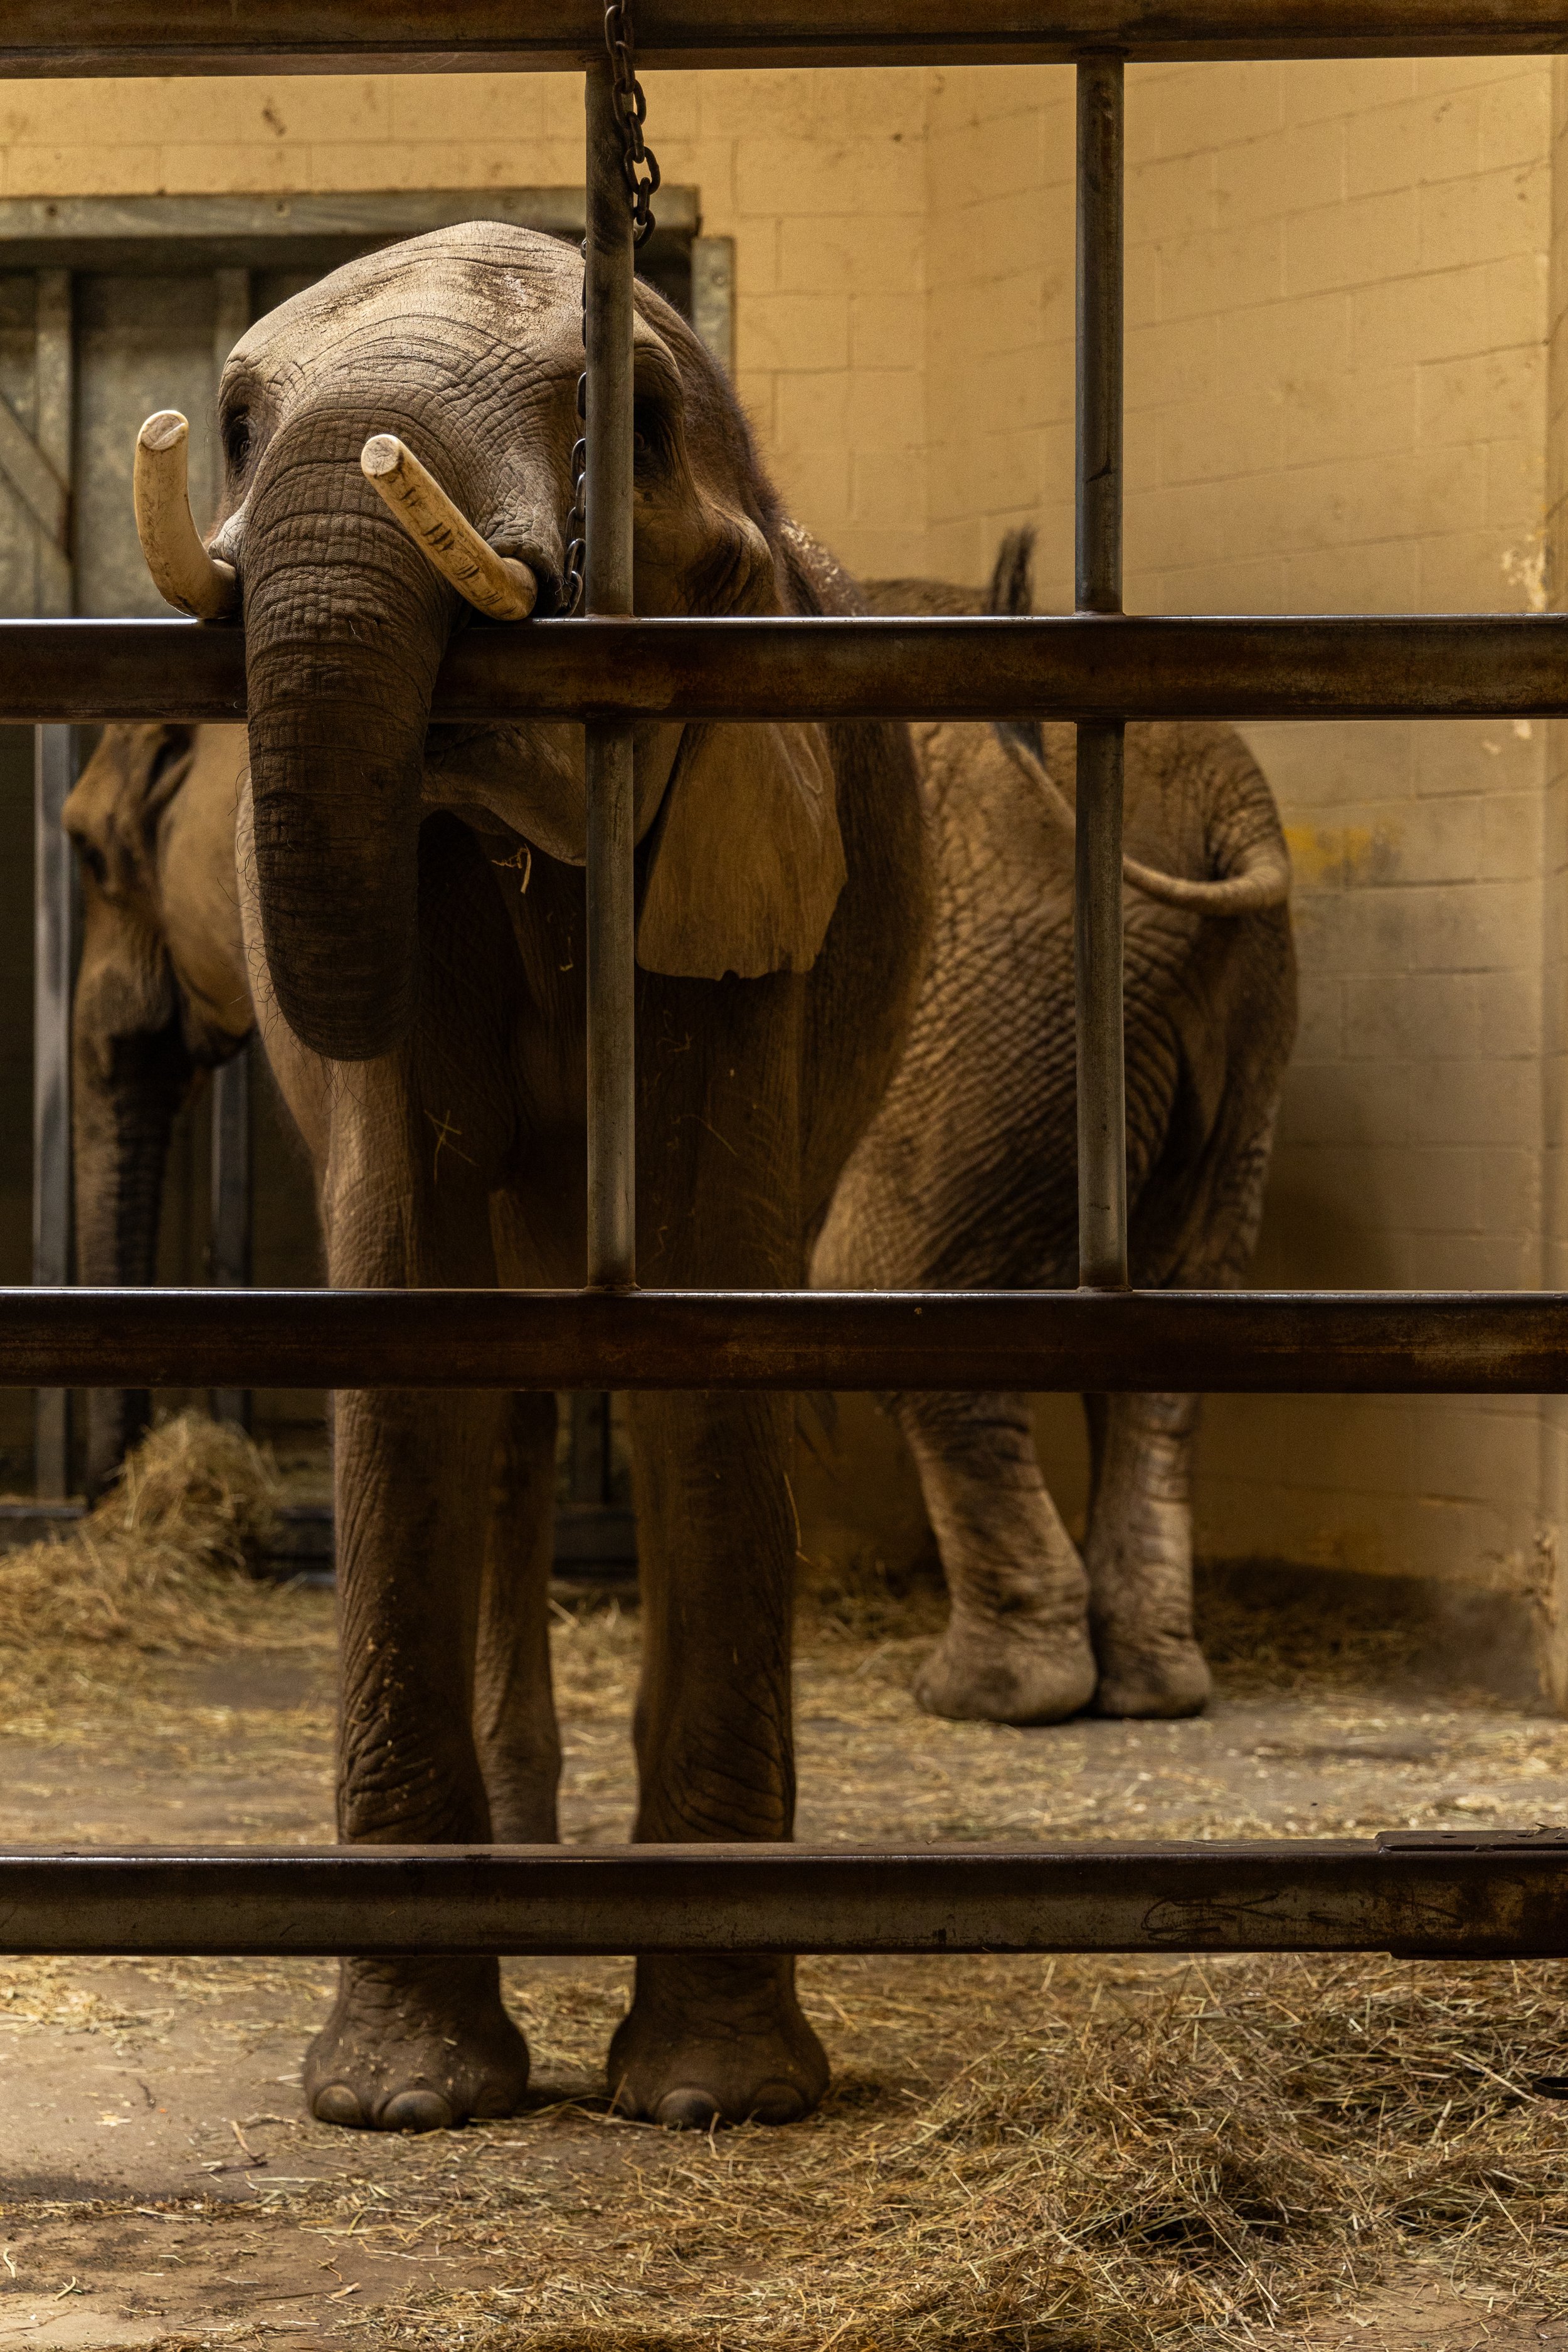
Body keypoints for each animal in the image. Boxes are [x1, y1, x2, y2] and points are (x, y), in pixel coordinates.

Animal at [123, 221, 927, 2135]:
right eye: (238, 423)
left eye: (619, 426)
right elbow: (410, 1314)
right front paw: (403, 2099)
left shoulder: (751, 836)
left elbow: (710, 1341)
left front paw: (716, 2095)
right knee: (502, 1411)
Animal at [813, 530, 1297, 1726]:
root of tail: (1235, 811)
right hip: (1228, 1006)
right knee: (1177, 1308)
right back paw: (1151, 1688)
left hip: (1004, 985)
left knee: (886, 1280)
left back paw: (991, 1697)